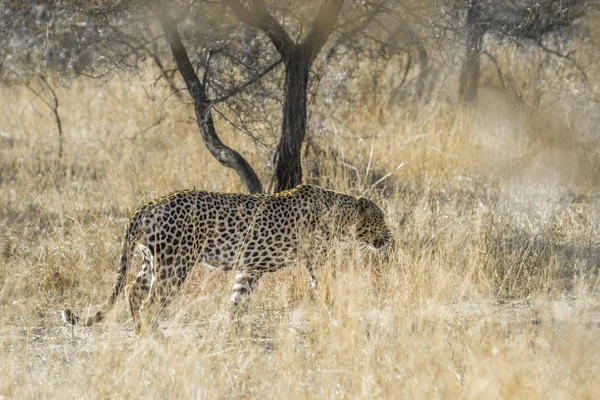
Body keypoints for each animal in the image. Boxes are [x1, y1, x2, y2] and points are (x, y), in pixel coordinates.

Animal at [63, 184, 392, 334]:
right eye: (381, 218)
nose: (390, 235)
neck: (340, 213)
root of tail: (150, 204)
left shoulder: (250, 268)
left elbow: (238, 299)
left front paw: (235, 332)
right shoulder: (318, 261)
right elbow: (327, 289)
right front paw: (344, 318)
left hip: (152, 261)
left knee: (133, 289)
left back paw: (138, 331)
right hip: (175, 265)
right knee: (150, 303)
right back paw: (152, 338)